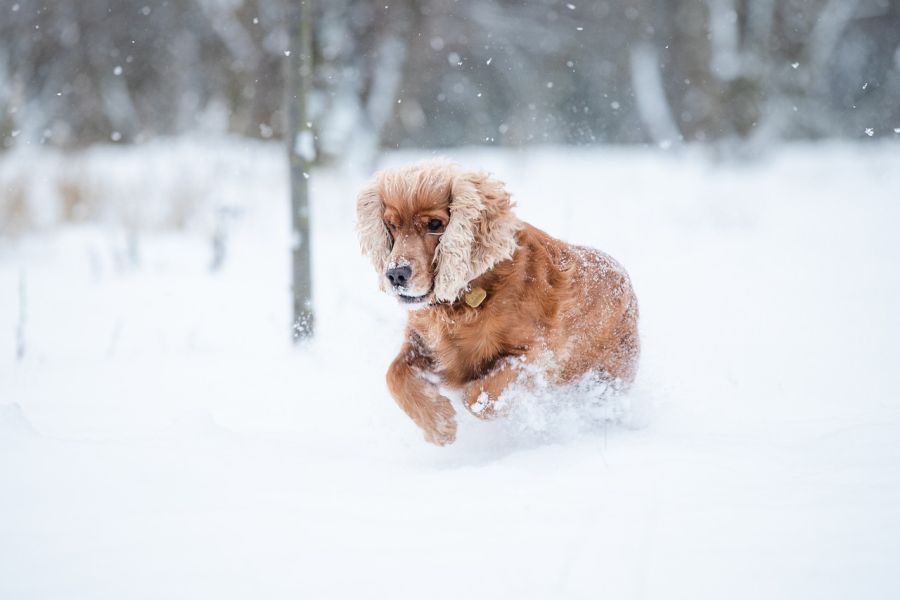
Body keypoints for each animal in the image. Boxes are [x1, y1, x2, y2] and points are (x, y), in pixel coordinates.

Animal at [356, 159, 636, 446]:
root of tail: (623, 275)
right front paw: (438, 424)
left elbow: (476, 396)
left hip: (610, 374)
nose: (395, 274)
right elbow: (394, 374)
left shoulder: (537, 353)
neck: (465, 296)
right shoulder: (422, 343)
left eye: (435, 224)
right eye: (391, 225)